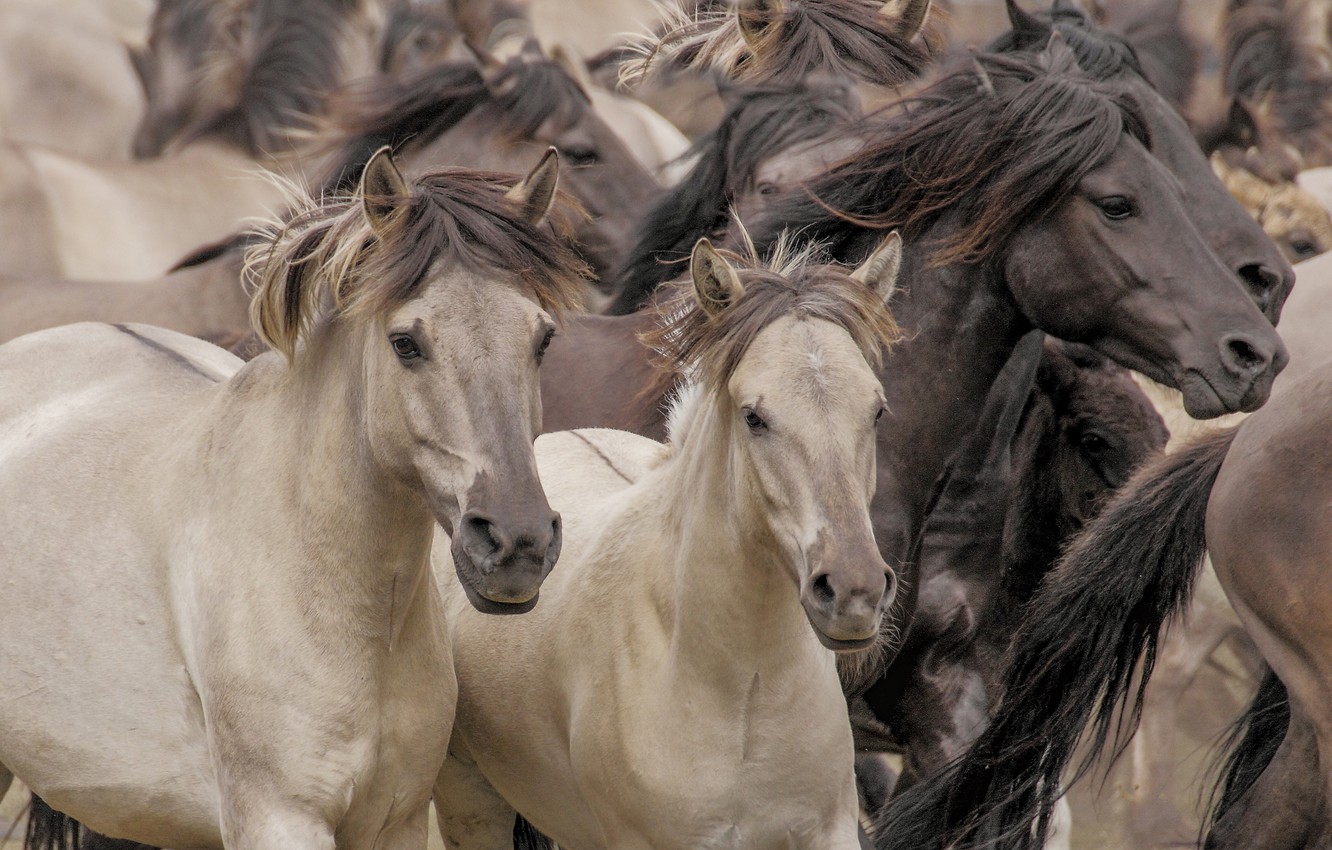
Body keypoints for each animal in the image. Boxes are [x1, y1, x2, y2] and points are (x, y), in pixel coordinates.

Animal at [435, 233, 903, 850]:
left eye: (877, 410)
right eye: (754, 417)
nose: (854, 592)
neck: (741, 690)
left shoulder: (828, 832)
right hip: (469, 804)